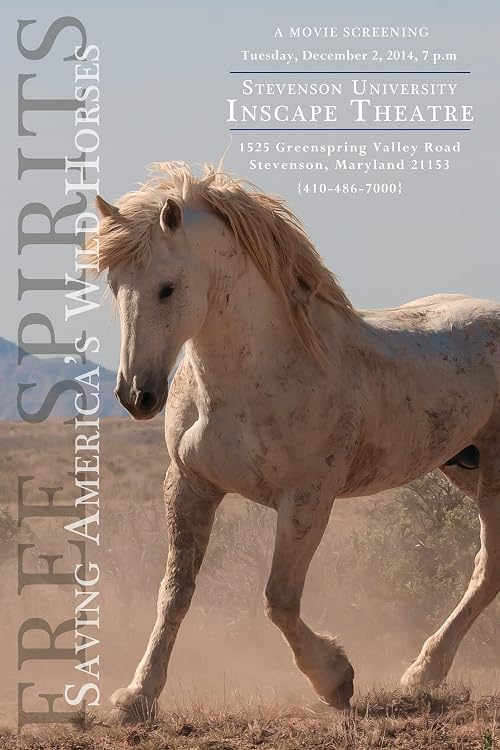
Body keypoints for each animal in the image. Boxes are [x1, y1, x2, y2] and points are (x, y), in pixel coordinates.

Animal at [92, 162, 500, 722]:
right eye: (115, 285)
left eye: (167, 288)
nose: (137, 395)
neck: (256, 376)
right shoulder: (190, 486)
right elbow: (174, 592)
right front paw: (138, 694)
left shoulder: (307, 501)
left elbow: (278, 599)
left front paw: (335, 678)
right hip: (463, 465)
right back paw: (424, 674)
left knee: (488, 566)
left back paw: (422, 673)